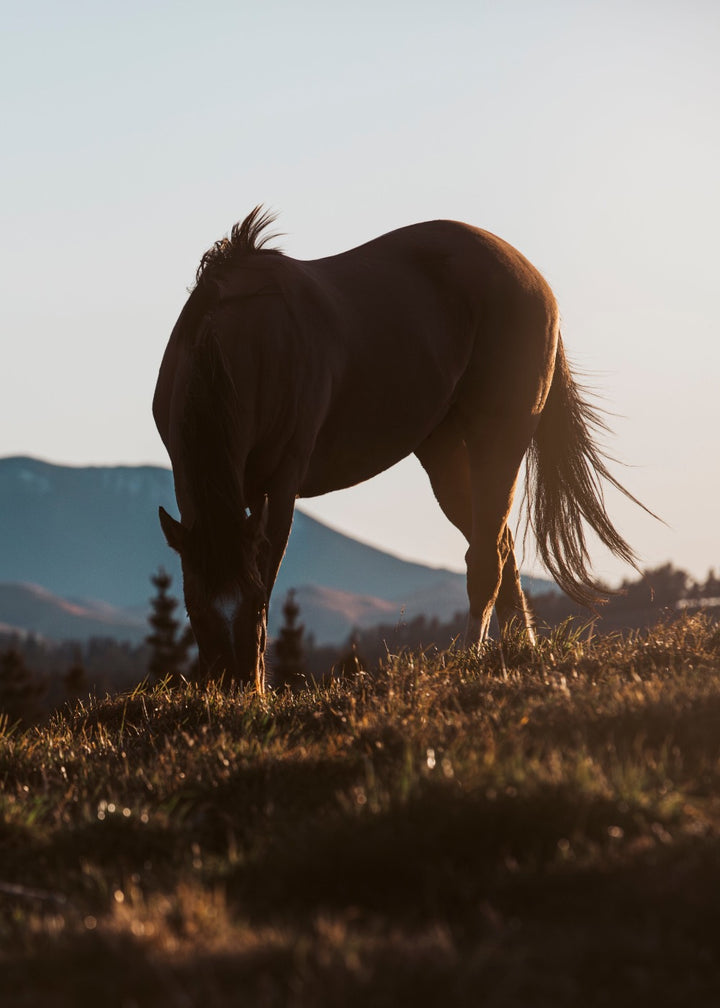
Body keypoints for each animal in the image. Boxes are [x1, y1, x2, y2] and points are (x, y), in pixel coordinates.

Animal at [154, 207, 649, 689]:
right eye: (194, 609)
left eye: (254, 601)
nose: (233, 688)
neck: (244, 338)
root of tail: (532, 277)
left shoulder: (282, 483)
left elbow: (270, 566)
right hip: (442, 453)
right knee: (499, 542)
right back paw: (518, 649)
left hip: (500, 436)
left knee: (487, 555)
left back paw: (472, 656)